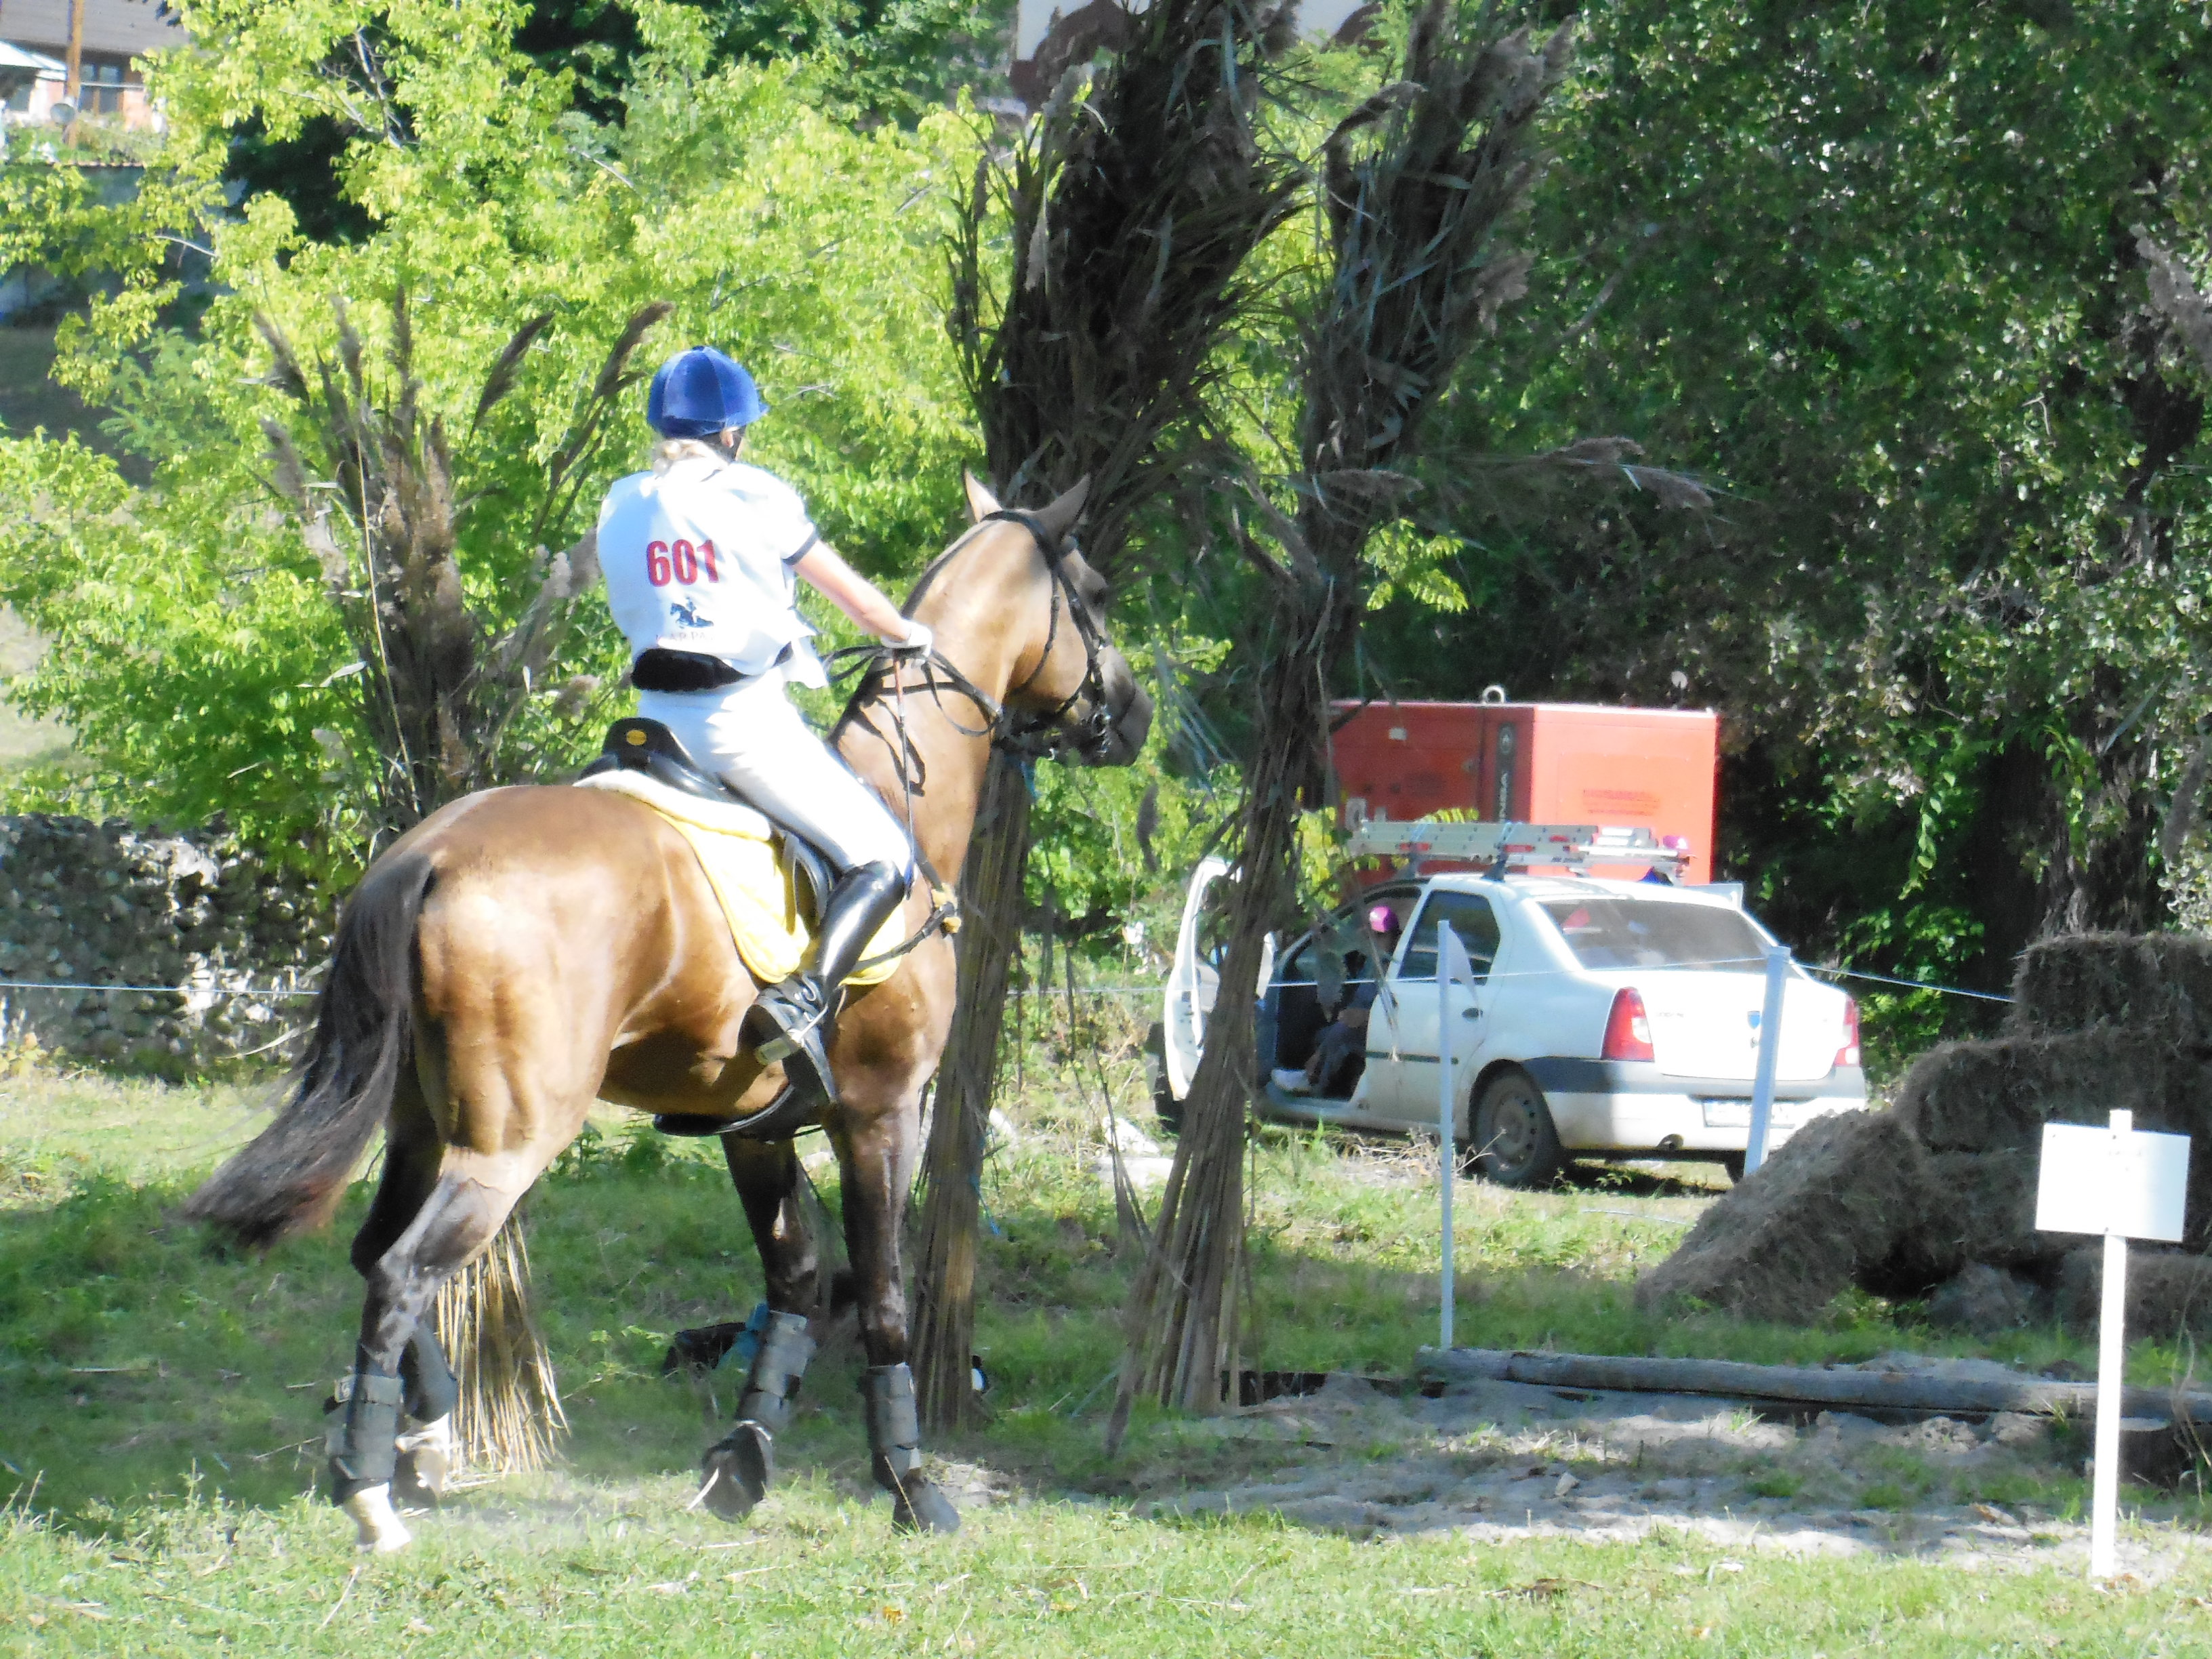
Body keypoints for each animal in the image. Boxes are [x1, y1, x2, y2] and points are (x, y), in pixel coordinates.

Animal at [183, 473, 1150, 1557]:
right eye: (1095, 594)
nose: (1134, 716)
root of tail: (426, 852)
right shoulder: (882, 1113)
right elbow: (884, 1300)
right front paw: (909, 1483)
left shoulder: (755, 1129)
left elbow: (795, 1282)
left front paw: (743, 1460)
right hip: (511, 1140)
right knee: (401, 1270)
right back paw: (373, 1490)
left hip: (423, 1123)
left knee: (372, 1252)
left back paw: (424, 1441)